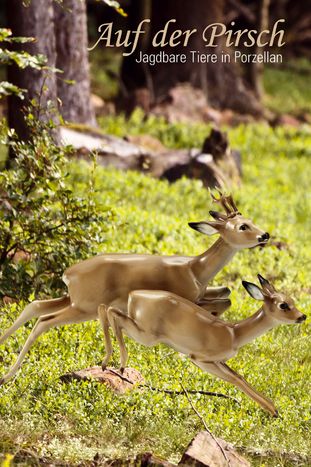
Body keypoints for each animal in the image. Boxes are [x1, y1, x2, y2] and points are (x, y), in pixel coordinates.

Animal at [0, 192, 270, 386]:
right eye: (242, 226)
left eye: (252, 221)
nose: (265, 235)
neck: (196, 268)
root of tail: (69, 274)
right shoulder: (186, 299)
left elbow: (226, 299)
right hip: (82, 308)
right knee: (44, 321)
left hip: (73, 302)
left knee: (35, 307)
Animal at [103, 274, 308, 416]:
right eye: (283, 305)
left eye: (292, 300)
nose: (302, 316)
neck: (234, 333)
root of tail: (133, 295)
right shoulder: (200, 360)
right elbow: (234, 380)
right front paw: (273, 411)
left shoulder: (220, 361)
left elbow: (239, 377)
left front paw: (274, 409)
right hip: (146, 336)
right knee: (111, 312)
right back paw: (118, 366)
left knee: (106, 309)